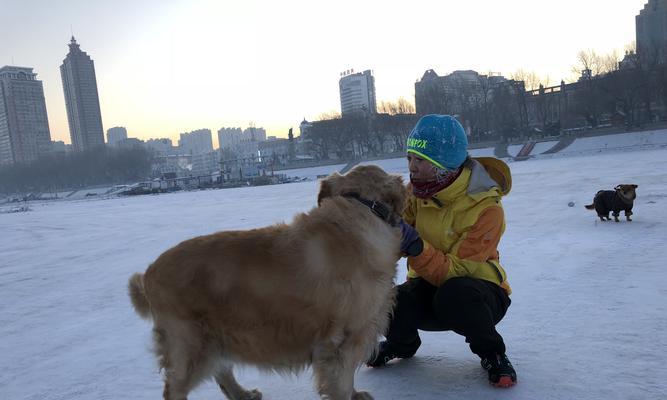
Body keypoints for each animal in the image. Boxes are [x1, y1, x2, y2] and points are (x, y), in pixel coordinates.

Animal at [126, 164, 408, 398]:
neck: (361, 208)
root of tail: (148, 274)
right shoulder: (342, 342)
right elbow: (342, 382)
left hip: (216, 337)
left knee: (222, 371)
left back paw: (243, 394)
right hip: (190, 345)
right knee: (174, 388)